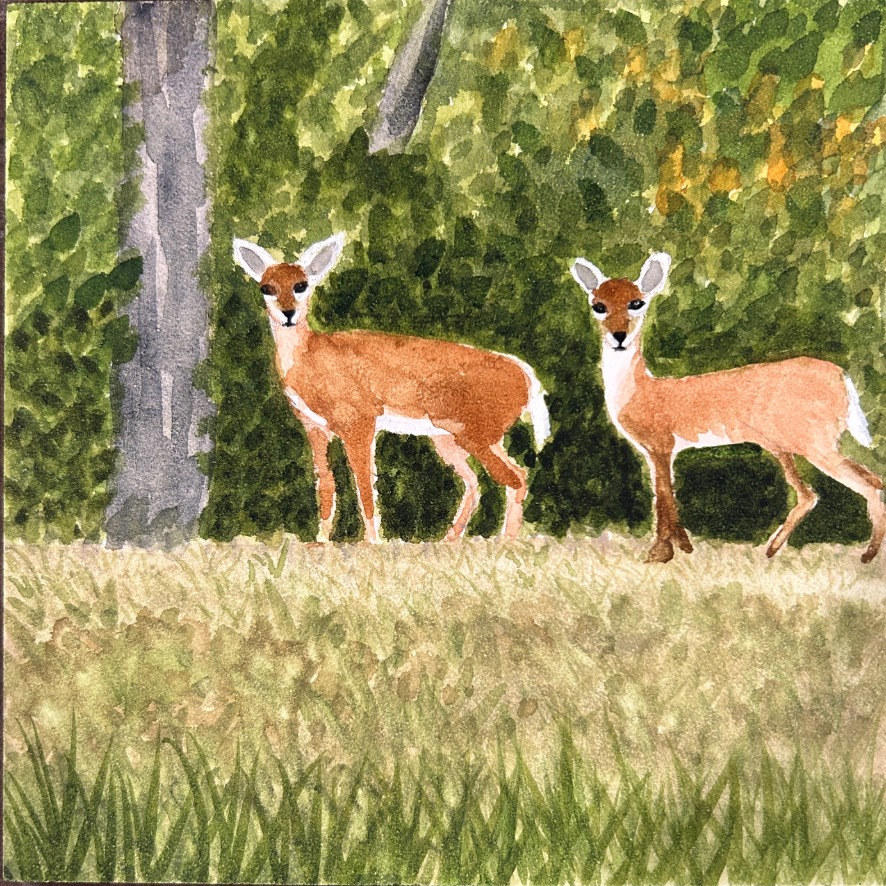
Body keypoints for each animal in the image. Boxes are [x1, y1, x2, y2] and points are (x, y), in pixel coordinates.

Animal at [234, 233, 550, 543]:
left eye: (302, 285)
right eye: (266, 287)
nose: (288, 313)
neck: (311, 360)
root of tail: (529, 378)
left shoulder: (359, 420)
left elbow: (365, 485)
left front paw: (373, 543)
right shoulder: (314, 427)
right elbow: (325, 484)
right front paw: (322, 541)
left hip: (477, 433)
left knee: (515, 478)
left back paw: (506, 543)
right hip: (452, 438)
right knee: (481, 481)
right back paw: (450, 540)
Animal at [570, 251, 885, 564]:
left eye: (637, 303)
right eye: (598, 306)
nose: (619, 335)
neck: (642, 391)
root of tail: (843, 378)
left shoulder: (661, 444)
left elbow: (663, 496)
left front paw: (660, 553)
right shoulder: (657, 451)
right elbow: (665, 496)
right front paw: (682, 548)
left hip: (815, 442)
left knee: (866, 483)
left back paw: (867, 555)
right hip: (785, 446)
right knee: (822, 491)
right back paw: (771, 550)